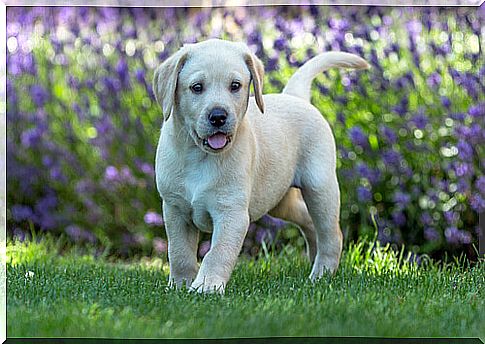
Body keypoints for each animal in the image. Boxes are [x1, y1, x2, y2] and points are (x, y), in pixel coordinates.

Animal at [151, 39, 366, 292]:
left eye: (235, 86)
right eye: (196, 87)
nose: (218, 116)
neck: (198, 155)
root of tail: (295, 97)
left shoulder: (231, 213)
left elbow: (217, 253)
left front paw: (206, 286)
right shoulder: (175, 209)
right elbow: (179, 253)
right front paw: (179, 286)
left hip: (320, 188)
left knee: (331, 234)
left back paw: (321, 274)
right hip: (279, 200)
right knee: (309, 222)